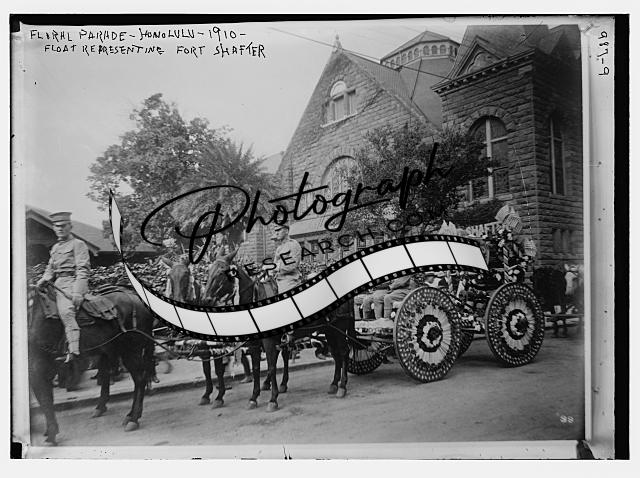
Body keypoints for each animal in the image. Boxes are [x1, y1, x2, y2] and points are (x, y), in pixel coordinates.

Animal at [28, 284, 155, 445]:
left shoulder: (37, 371)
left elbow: (45, 401)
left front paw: (51, 434)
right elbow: (46, 400)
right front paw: (48, 431)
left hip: (131, 350)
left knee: (139, 379)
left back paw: (133, 419)